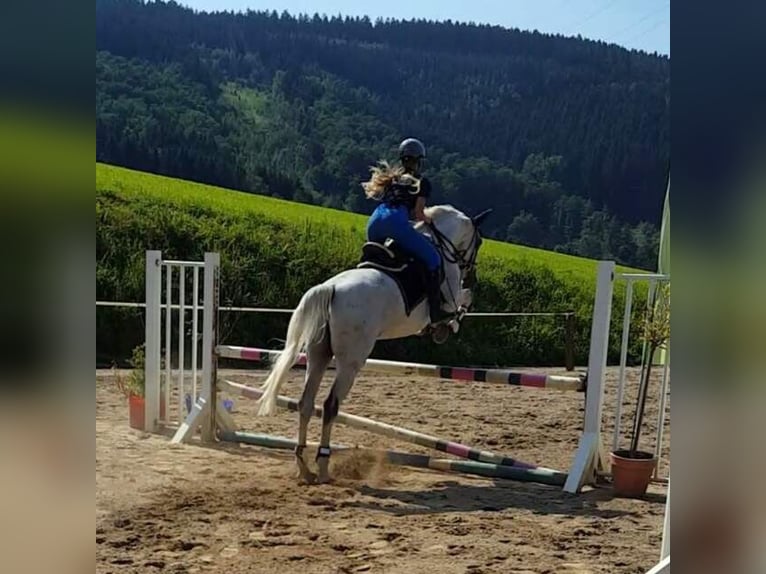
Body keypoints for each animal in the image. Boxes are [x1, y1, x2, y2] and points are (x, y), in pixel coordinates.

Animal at [255, 205, 488, 484]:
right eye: (479, 242)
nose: (471, 276)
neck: (441, 245)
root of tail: (330, 288)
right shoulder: (448, 300)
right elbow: (462, 302)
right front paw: (447, 327)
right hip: (351, 362)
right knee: (330, 405)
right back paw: (323, 465)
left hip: (318, 354)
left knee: (306, 403)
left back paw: (303, 465)